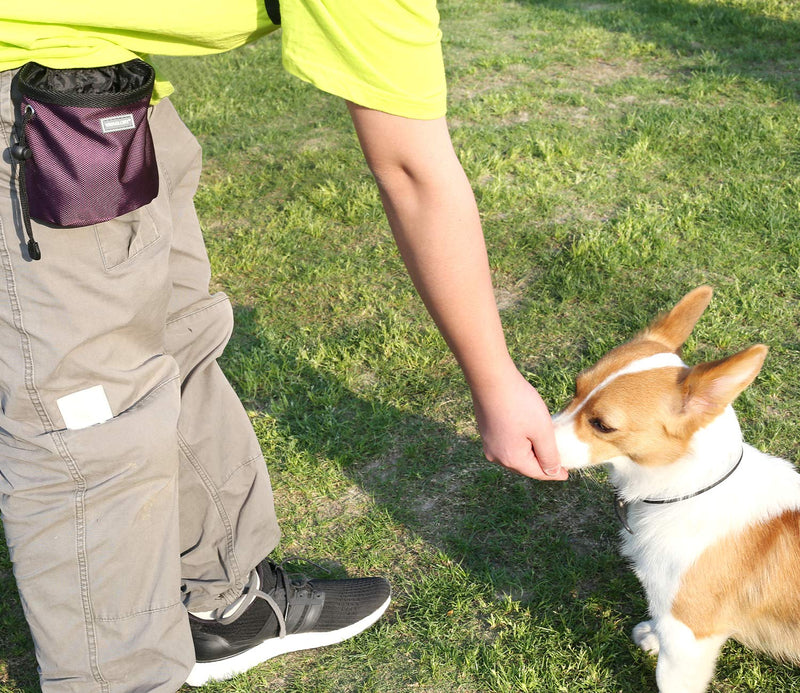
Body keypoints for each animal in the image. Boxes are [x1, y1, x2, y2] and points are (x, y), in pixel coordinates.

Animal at [552, 286, 796, 692]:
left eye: (602, 425)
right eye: (574, 388)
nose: (531, 437)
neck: (687, 490)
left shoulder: (687, 639)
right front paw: (651, 635)